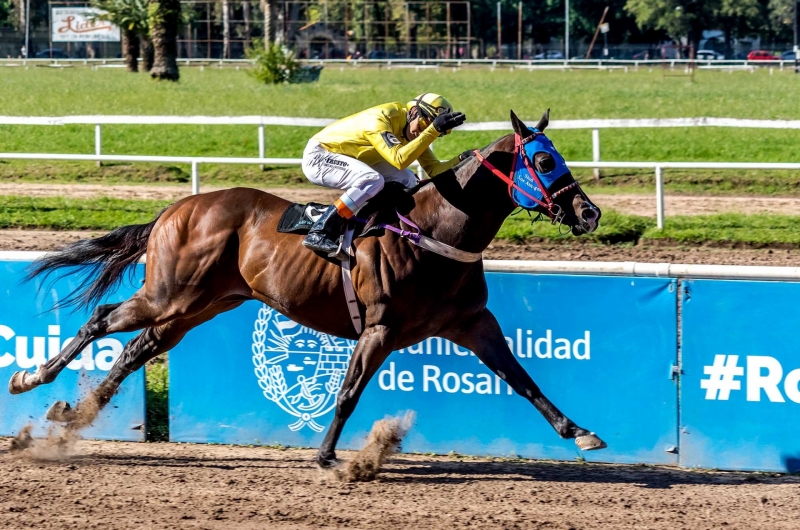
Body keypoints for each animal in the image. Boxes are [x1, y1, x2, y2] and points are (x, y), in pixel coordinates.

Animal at [10, 109, 608, 464]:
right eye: (544, 159)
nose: (589, 212)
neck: (435, 232)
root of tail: (177, 208)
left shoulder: (471, 323)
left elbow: (522, 378)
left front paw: (580, 430)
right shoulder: (379, 328)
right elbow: (347, 392)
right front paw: (326, 455)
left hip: (199, 305)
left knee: (138, 346)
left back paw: (73, 415)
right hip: (170, 294)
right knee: (102, 320)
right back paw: (30, 378)